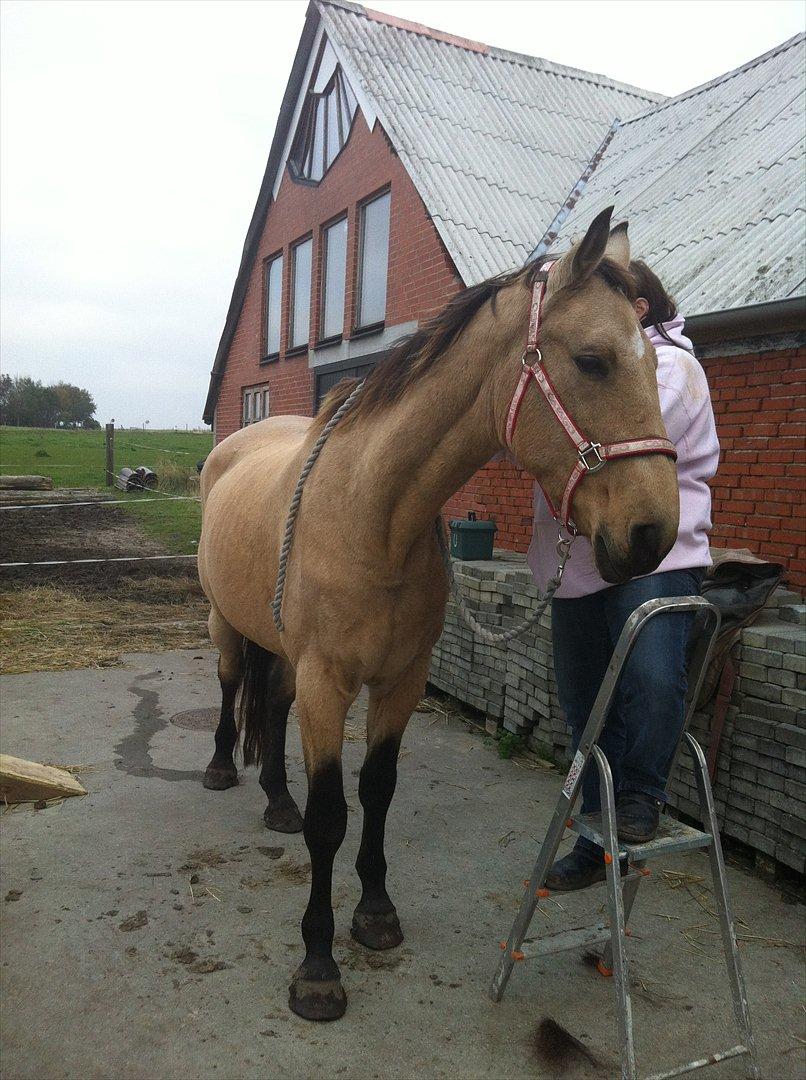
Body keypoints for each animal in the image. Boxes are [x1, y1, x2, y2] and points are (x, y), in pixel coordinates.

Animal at [196, 208, 678, 1019]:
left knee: (272, 703)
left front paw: (375, 914)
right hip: (225, 625)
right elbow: (331, 816)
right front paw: (318, 967)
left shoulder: (401, 682)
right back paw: (222, 770)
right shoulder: (330, 682)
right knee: (234, 688)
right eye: (592, 360)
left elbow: (376, 792)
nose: (653, 533)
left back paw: (275, 801)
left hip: (289, 655)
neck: (372, 514)